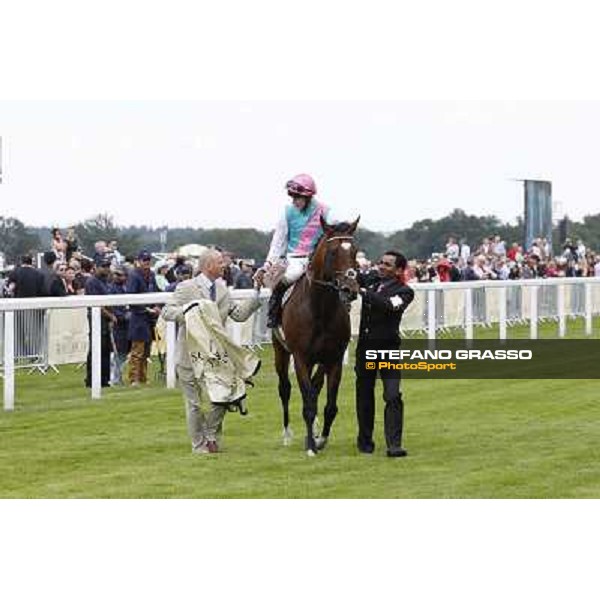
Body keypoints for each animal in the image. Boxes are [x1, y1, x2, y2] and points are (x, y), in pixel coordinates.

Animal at [274, 216, 358, 454]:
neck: (320, 309)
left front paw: (320, 439)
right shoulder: (301, 357)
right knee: (285, 388)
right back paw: (287, 434)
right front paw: (311, 446)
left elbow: (330, 405)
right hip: (280, 350)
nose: (350, 289)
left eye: (355, 251)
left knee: (315, 386)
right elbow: (308, 404)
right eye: (333, 252)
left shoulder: (334, 359)